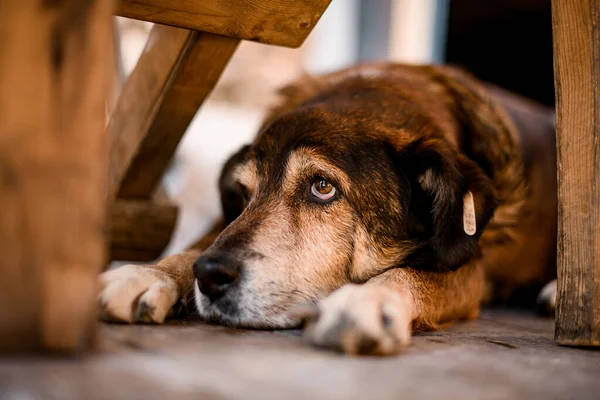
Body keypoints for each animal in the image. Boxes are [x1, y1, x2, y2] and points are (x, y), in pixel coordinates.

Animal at [99, 63, 556, 356]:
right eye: (243, 194)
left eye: (322, 187)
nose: (210, 276)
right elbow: (199, 242)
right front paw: (150, 273)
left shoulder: (467, 261)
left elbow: (417, 274)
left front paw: (367, 299)